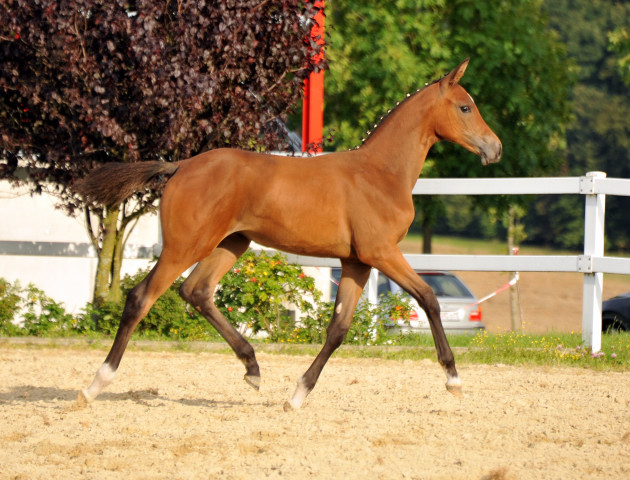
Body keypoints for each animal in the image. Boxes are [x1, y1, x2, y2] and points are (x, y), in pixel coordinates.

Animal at [75, 57, 504, 408]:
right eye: (465, 107)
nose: (495, 148)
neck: (381, 173)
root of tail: (181, 166)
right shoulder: (381, 252)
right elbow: (429, 298)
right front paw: (453, 379)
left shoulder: (356, 261)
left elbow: (338, 329)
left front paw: (297, 395)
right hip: (185, 245)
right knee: (141, 298)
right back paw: (94, 385)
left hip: (231, 243)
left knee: (196, 291)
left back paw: (252, 368)